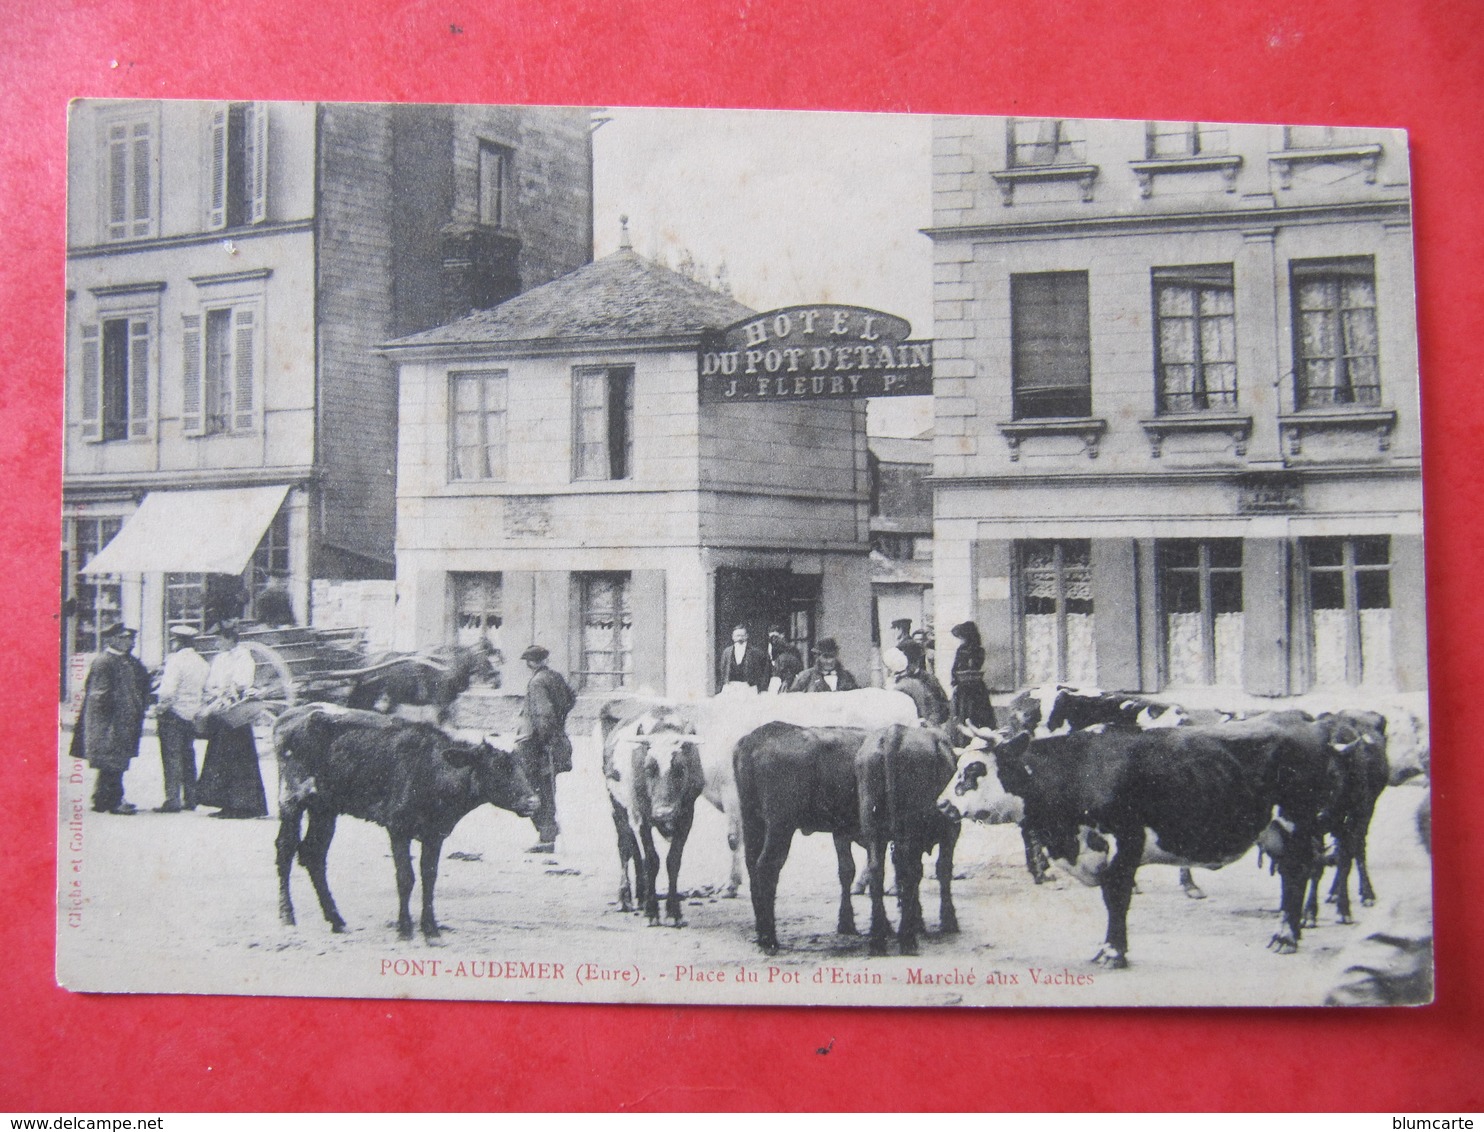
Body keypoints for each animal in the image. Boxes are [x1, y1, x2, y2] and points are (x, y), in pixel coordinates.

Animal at [274, 709, 540, 937]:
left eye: (521, 767)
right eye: (497, 767)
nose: (534, 801)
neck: (431, 769)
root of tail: (289, 716)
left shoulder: (435, 833)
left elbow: (429, 877)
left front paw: (430, 928)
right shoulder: (398, 828)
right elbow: (405, 877)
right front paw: (405, 927)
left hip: (324, 809)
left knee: (313, 855)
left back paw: (336, 919)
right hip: (291, 798)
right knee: (286, 849)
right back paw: (287, 916)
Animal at [596, 700, 706, 931]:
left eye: (681, 769)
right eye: (648, 768)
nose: (664, 812)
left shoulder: (686, 817)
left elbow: (673, 861)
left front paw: (673, 912)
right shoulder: (641, 817)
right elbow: (652, 860)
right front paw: (653, 911)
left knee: (635, 850)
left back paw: (641, 896)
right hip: (617, 806)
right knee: (625, 847)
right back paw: (626, 898)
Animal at [854, 726, 967, 955]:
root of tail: (893, 733)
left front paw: (918, 919)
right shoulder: (951, 830)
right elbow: (942, 869)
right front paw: (947, 920)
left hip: (872, 828)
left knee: (877, 870)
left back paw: (878, 939)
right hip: (910, 828)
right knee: (907, 871)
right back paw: (907, 939)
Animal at [943, 721, 1353, 967]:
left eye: (975, 770)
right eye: (957, 765)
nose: (942, 805)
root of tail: (1309, 728)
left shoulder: (1126, 839)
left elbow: (1117, 896)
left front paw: (1112, 952)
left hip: (1296, 820)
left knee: (1297, 873)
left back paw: (1286, 935)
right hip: (1275, 832)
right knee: (1294, 874)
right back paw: (1291, 930)